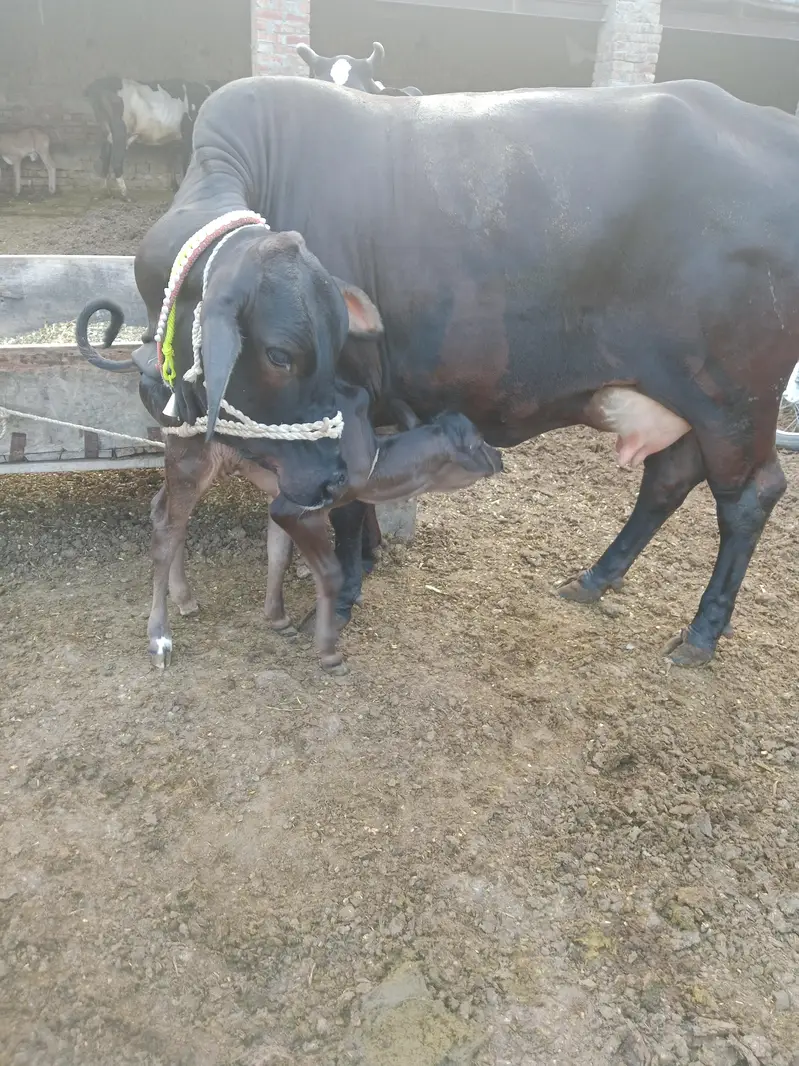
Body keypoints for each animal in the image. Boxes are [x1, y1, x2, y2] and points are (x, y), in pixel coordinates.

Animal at [85, 76, 221, 200]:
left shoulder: (174, 138)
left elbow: (172, 159)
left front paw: (175, 186)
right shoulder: (188, 135)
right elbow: (186, 164)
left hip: (107, 132)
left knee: (105, 157)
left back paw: (105, 192)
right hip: (120, 131)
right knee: (116, 160)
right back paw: (126, 195)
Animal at [139, 74, 799, 670]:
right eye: (281, 355)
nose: (151, 385)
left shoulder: (351, 411)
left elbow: (349, 507)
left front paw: (342, 595)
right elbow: (362, 500)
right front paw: (366, 561)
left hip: (735, 401)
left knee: (750, 496)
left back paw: (702, 633)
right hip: (685, 398)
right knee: (669, 477)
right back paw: (594, 578)